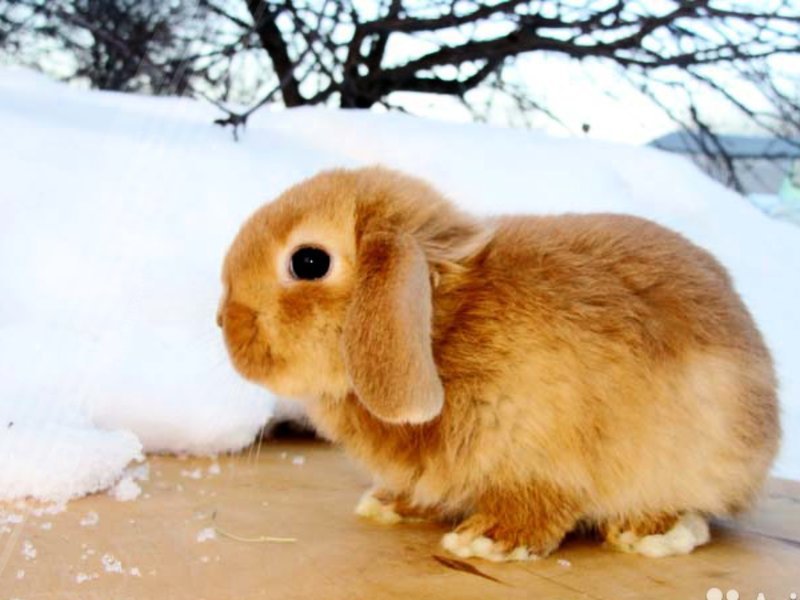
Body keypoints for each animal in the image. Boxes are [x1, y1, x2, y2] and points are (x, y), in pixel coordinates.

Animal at [218, 166, 780, 561]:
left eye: (308, 261)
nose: (224, 320)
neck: (443, 328)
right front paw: (391, 504)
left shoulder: (546, 460)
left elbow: (539, 504)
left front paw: (488, 539)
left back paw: (647, 533)